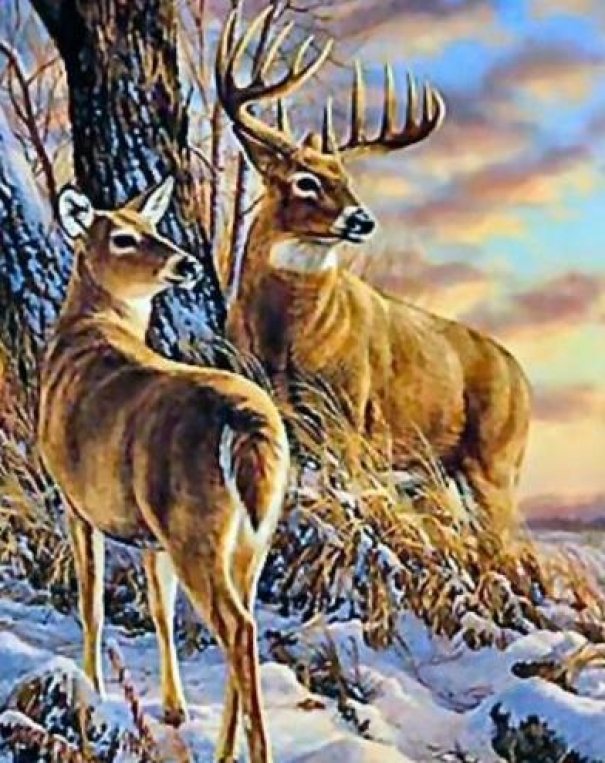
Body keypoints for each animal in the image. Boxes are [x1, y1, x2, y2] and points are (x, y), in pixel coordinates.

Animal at [38, 177, 290, 763]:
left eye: (154, 228)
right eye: (125, 237)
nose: (187, 263)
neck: (90, 330)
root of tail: (247, 424)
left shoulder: (75, 499)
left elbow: (91, 602)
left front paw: (93, 689)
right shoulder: (148, 536)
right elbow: (159, 609)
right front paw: (174, 708)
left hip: (193, 526)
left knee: (237, 627)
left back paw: (247, 751)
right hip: (254, 534)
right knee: (244, 620)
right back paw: (223, 746)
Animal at [215, 8, 532, 535]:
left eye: (347, 179)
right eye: (306, 181)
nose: (363, 220)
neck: (285, 338)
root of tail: (524, 381)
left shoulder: (349, 415)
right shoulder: (270, 402)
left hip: (496, 462)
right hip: (437, 468)